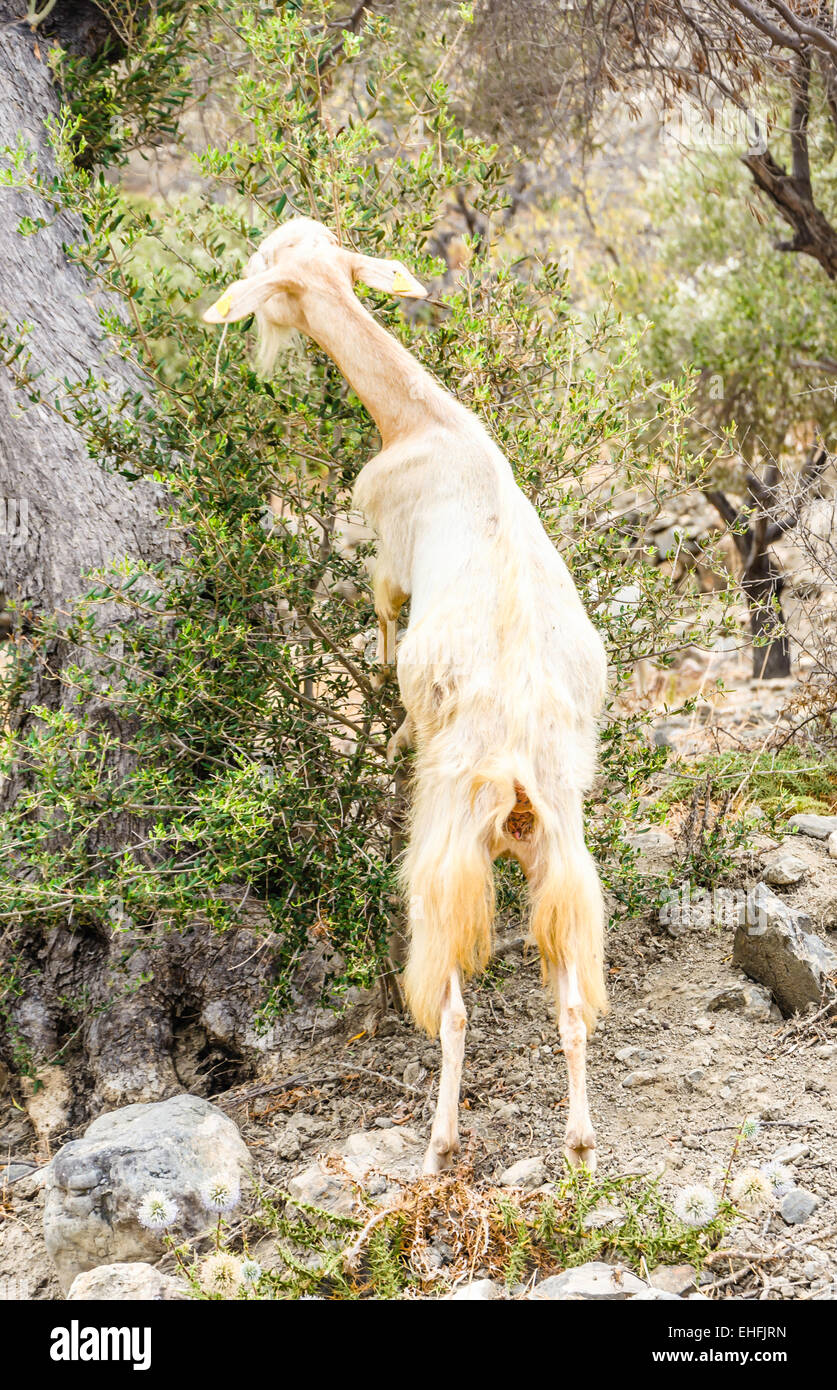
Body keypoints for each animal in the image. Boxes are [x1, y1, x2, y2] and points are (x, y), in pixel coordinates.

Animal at [203, 217, 609, 1174]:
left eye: (265, 276)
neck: (425, 421)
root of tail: (515, 782)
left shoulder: (385, 547)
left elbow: (385, 621)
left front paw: (388, 731)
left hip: (444, 863)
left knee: (452, 1006)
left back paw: (437, 1144)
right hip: (563, 864)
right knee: (572, 1002)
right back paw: (578, 1142)